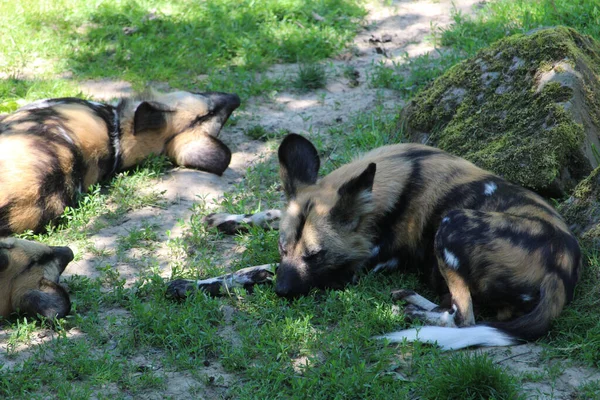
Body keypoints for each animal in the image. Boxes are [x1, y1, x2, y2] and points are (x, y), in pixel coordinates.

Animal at [166, 134, 580, 350]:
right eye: (284, 248)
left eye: (315, 256)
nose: (284, 292)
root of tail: (561, 268)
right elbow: (268, 216)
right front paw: (231, 219)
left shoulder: (347, 272)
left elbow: (252, 271)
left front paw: (193, 284)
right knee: (458, 310)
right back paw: (412, 301)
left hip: (452, 223)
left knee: (464, 317)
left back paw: (414, 314)